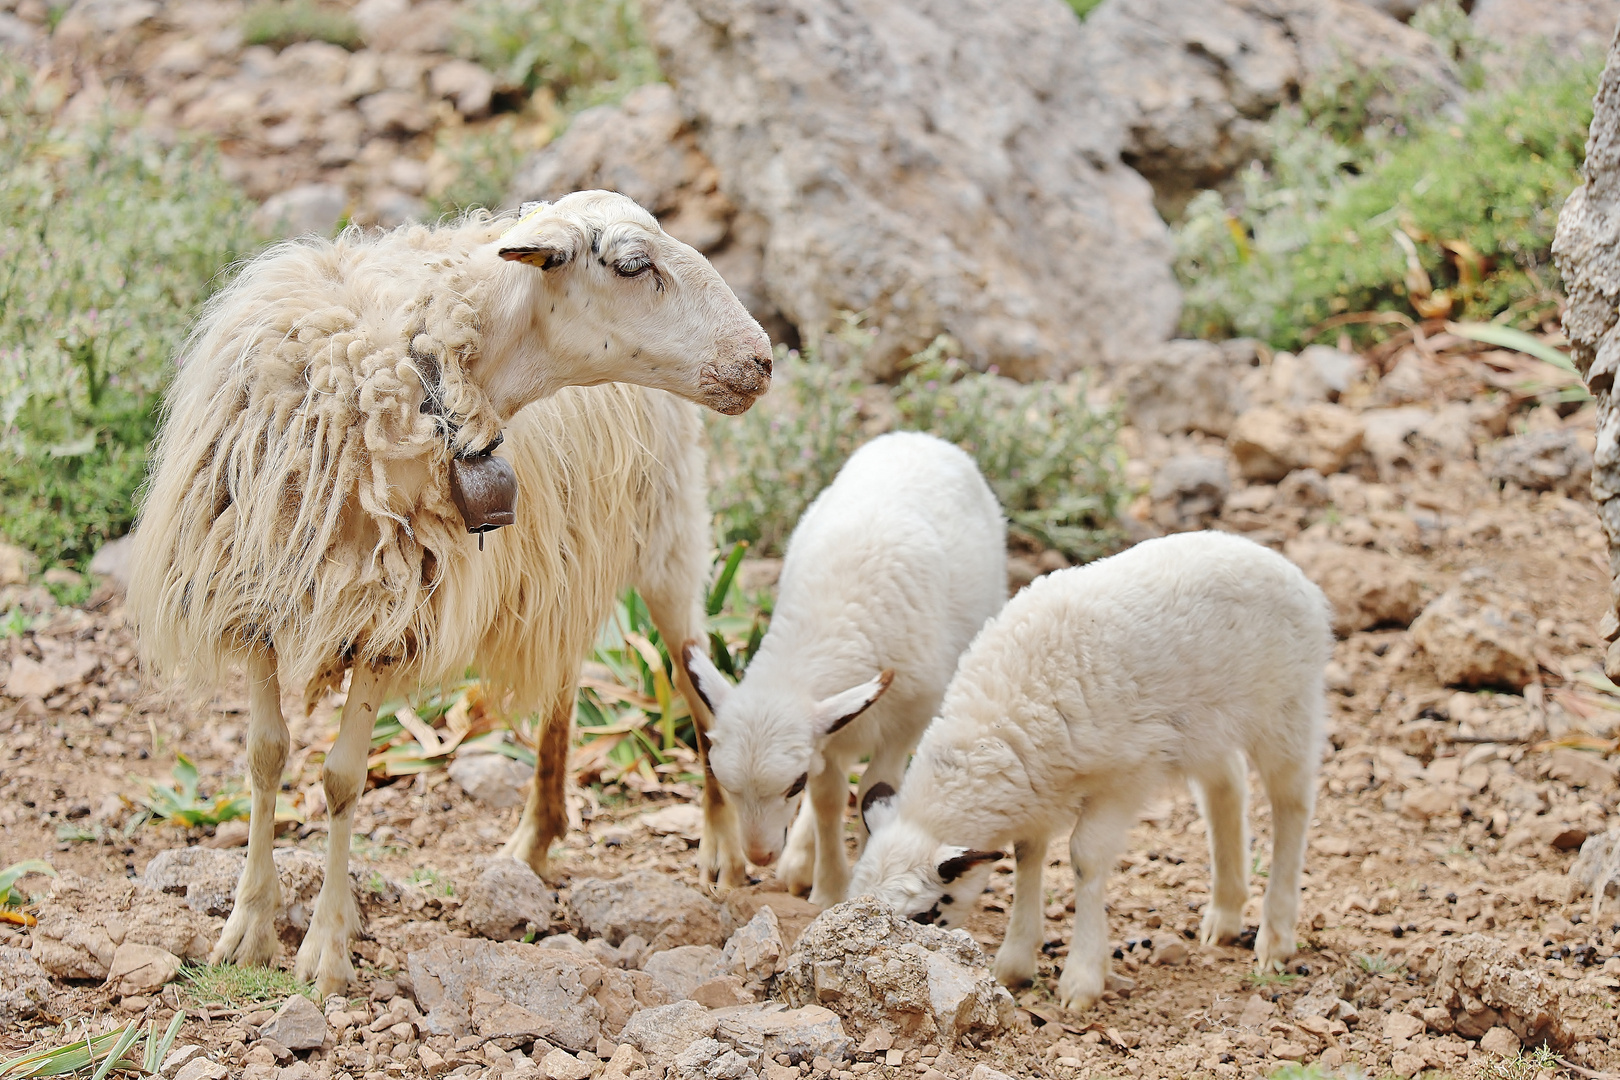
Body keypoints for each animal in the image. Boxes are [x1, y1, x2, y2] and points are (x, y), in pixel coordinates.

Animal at [126, 194, 771, 997]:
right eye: (631, 264)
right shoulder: (257, 602)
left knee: (692, 674)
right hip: (567, 558)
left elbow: (341, 779)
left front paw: (326, 950)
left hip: (670, 537)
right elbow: (265, 756)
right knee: (563, 681)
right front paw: (247, 927)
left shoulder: (390, 616)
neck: (423, 368)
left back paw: (721, 844)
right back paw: (537, 834)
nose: (762, 360)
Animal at [677, 430, 1004, 906]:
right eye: (726, 783)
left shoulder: (906, 722)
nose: (758, 856)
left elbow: (870, 790)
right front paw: (829, 887)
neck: (826, 628)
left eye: (792, 785)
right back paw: (799, 861)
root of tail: (916, 437)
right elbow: (829, 798)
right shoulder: (828, 736)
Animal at [848, 531, 1328, 1016]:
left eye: (926, 914)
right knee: (1226, 785)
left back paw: (1275, 936)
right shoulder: (1037, 784)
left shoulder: (1127, 775)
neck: (992, 726)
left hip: (1288, 707)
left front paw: (1081, 978)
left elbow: (1085, 857)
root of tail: (1283, 566)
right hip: (1205, 726)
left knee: (1292, 803)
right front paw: (1015, 961)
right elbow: (1027, 852)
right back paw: (1225, 916)